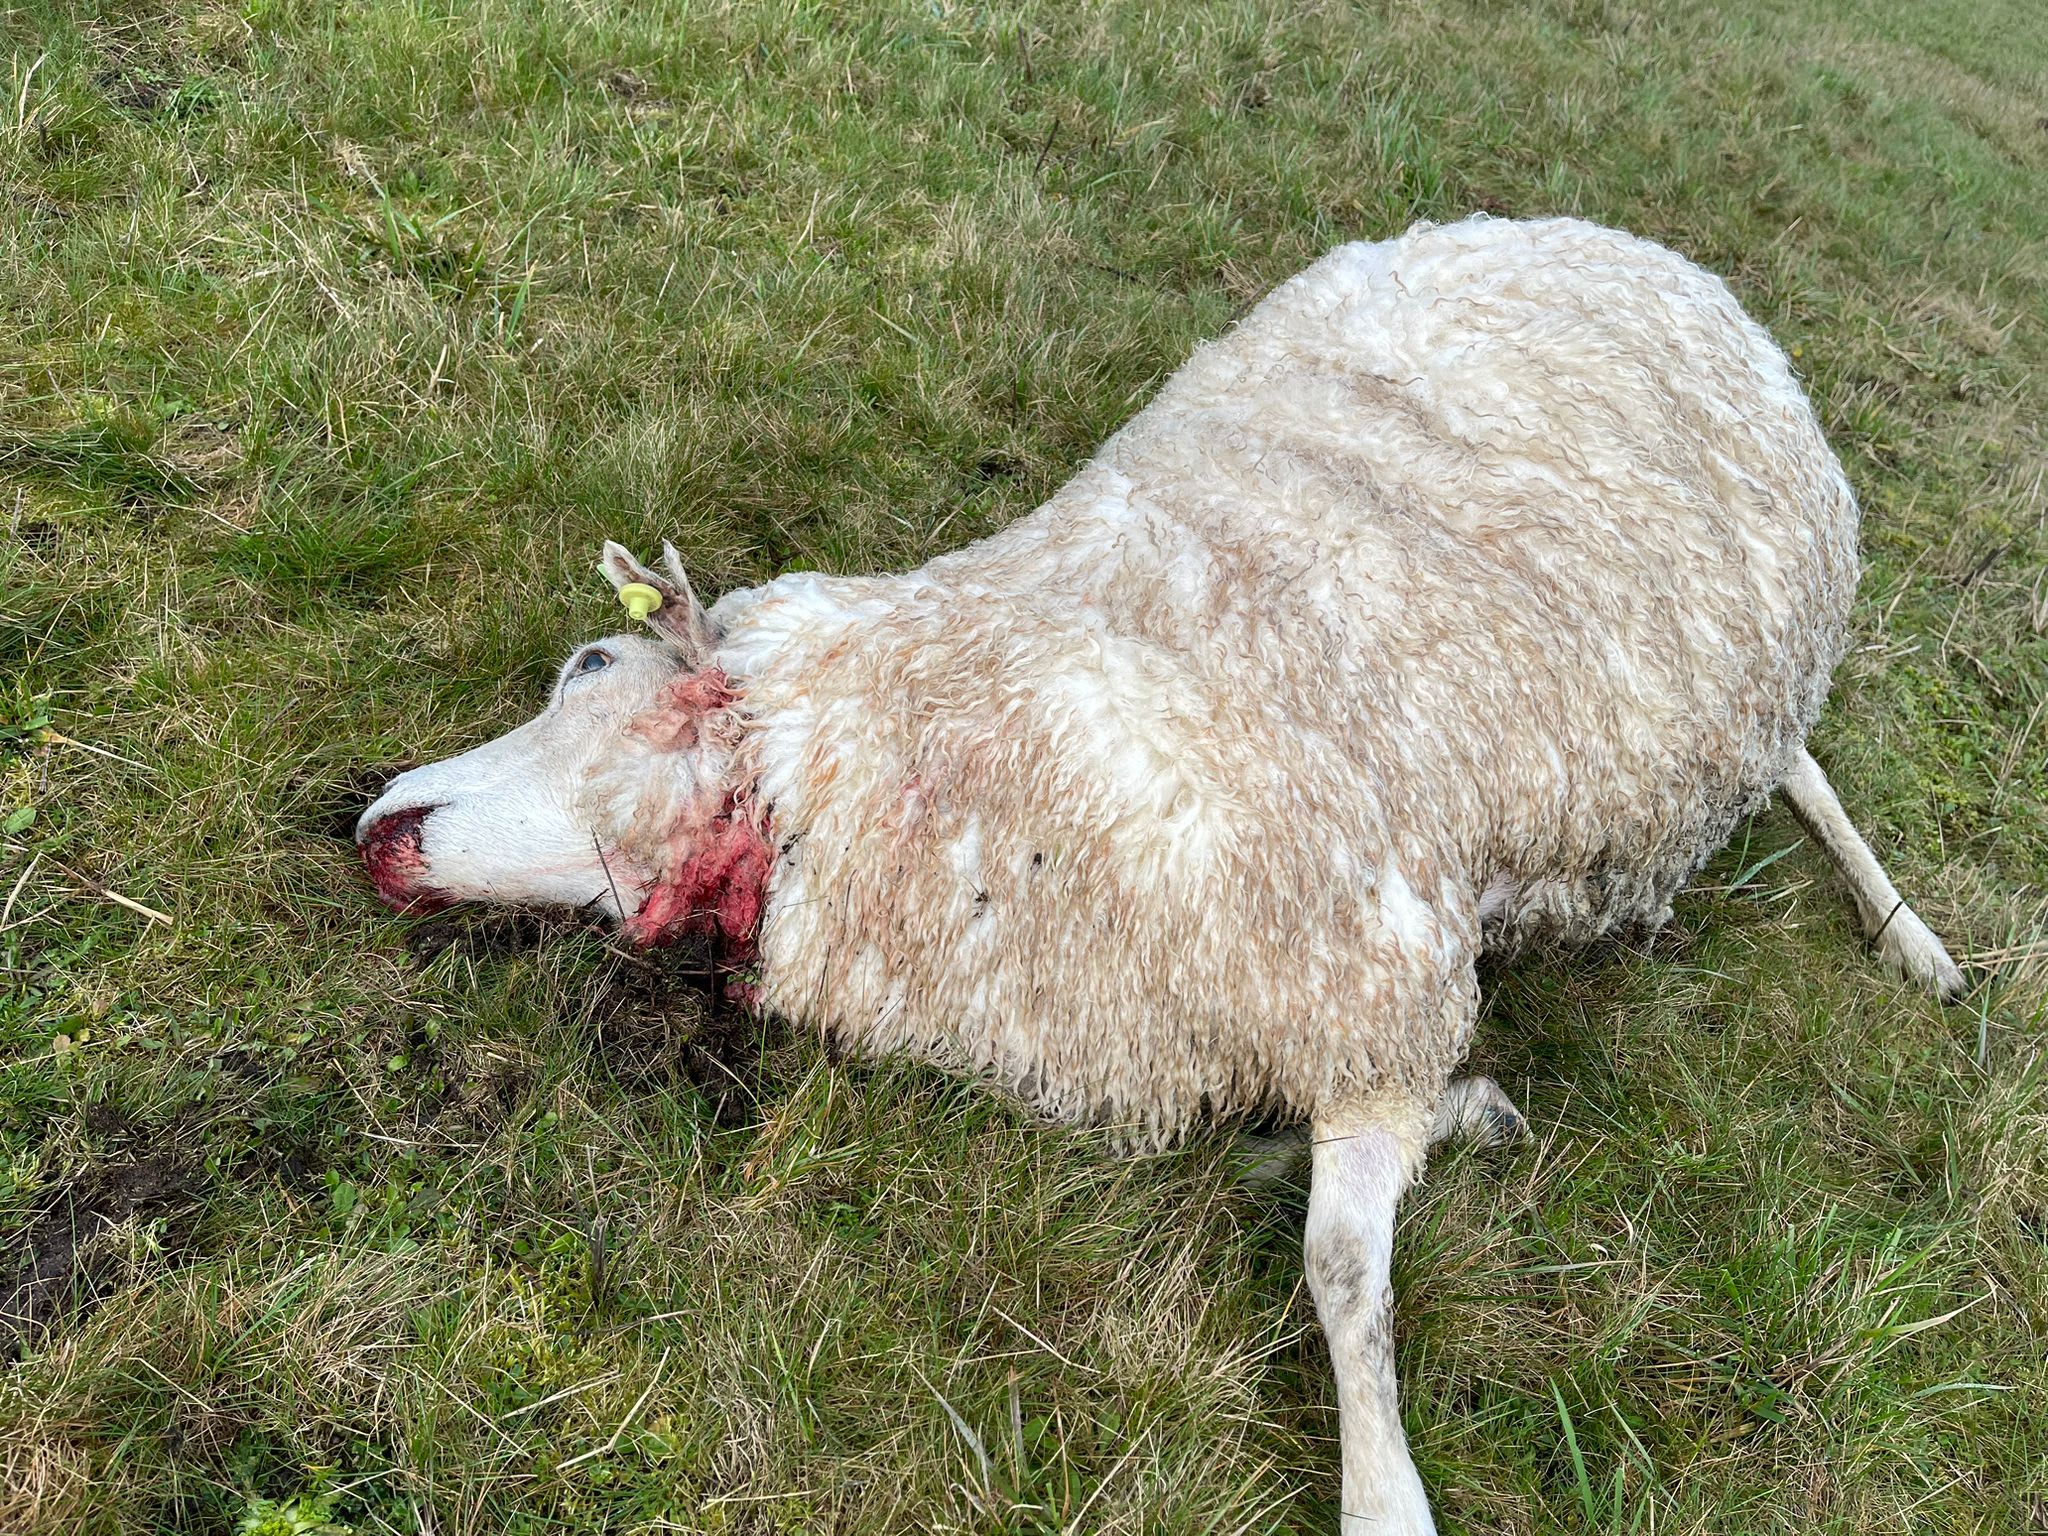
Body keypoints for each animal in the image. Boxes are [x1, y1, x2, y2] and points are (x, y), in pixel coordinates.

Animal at [356, 217, 1966, 1536]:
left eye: (588, 667)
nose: (372, 818)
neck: (939, 749)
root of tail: (1640, 247)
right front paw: (1466, 1118)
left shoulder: (1373, 983)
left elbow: (1341, 1275)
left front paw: (1383, 1490)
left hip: (1753, 671)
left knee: (1812, 776)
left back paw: (1914, 942)